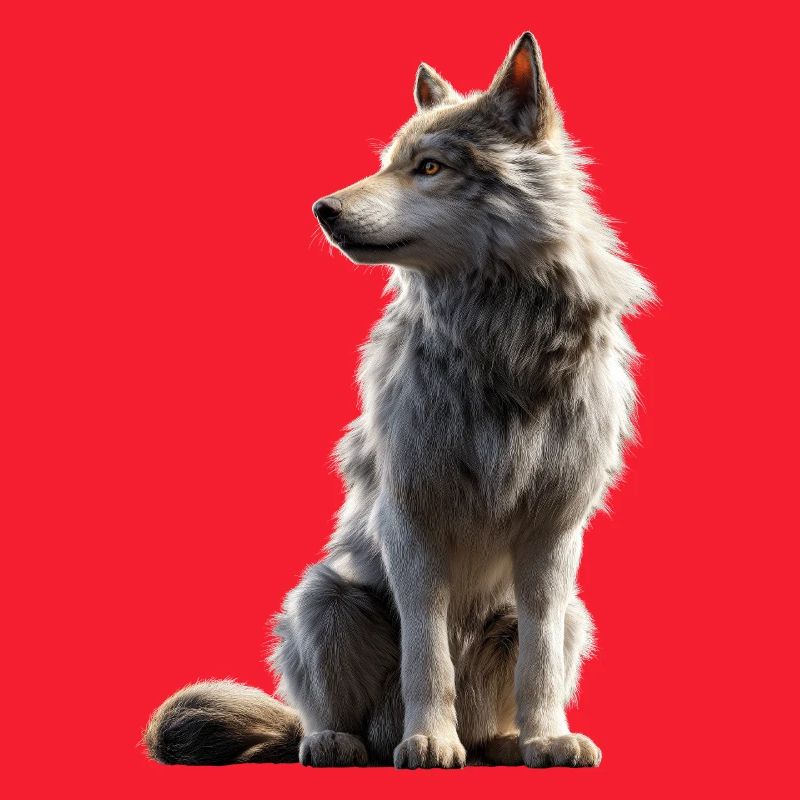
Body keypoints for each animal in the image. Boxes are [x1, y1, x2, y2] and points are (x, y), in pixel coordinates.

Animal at [144, 32, 652, 769]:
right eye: (388, 164)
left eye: (430, 167)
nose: (322, 210)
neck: (498, 340)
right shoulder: (411, 521)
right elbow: (427, 654)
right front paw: (430, 741)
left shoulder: (554, 534)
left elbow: (540, 664)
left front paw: (549, 739)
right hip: (323, 599)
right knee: (327, 714)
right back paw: (341, 742)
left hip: (574, 615)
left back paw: (503, 743)